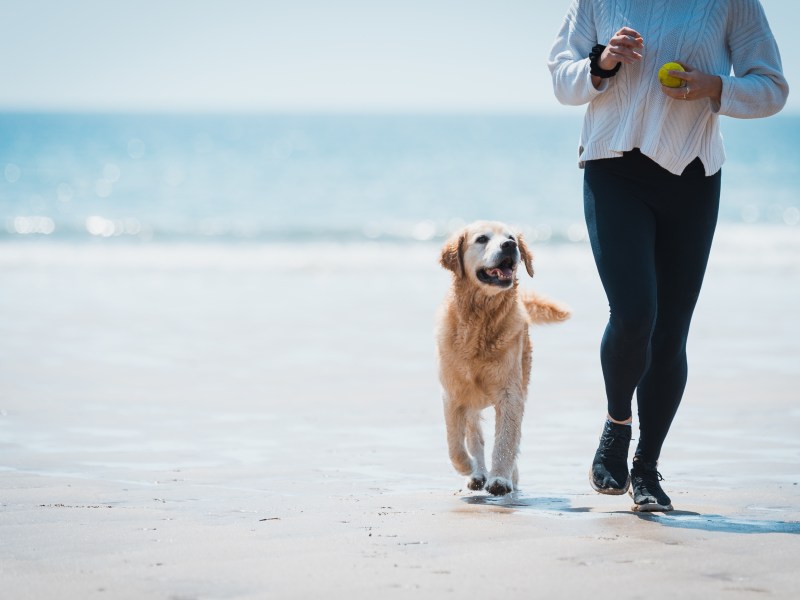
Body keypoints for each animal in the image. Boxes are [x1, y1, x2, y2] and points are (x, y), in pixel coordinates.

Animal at [434, 223, 572, 494]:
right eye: (482, 239)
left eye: (510, 238)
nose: (510, 245)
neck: (480, 320)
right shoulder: (453, 393)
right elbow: (454, 443)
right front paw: (467, 466)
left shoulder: (510, 393)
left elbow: (506, 439)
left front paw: (499, 478)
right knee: (474, 436)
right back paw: (477, 473)